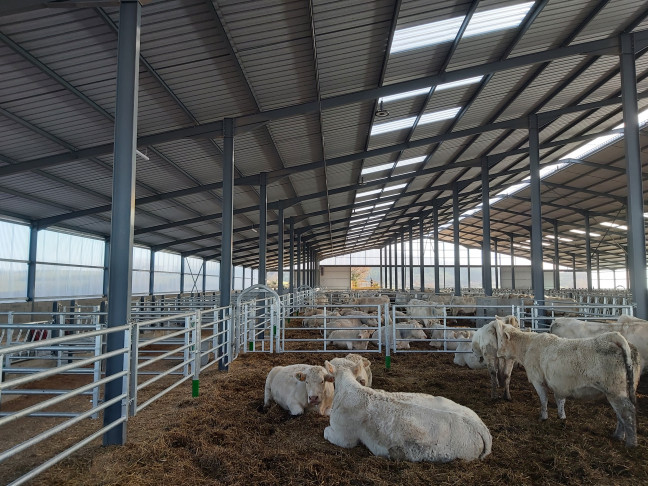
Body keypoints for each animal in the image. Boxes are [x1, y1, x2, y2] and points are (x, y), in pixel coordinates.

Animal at [495, 318, 640, 447]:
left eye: (501, 340)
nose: (497, 353)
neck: (528, 345)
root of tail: (615, 338)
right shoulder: (559, 385)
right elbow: (560, 400)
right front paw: (562, 417)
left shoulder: (538, 380)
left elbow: (544, 400)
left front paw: (543, 417)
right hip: (621, 391)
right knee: (620, 415)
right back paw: (618, 436)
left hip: (616, 392)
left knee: (628, 412)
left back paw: (631, 443)